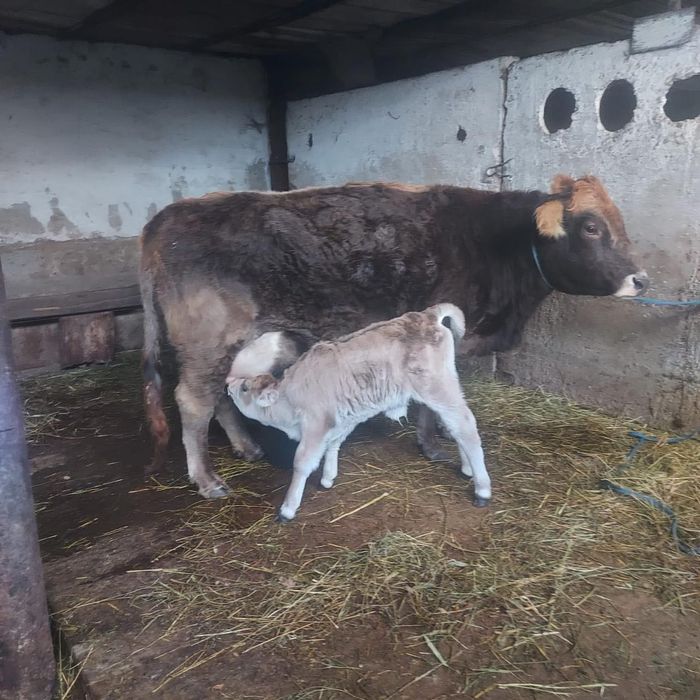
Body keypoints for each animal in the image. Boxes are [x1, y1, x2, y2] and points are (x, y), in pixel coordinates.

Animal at [140, 174, 647, 499]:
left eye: (621, 224)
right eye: (591, 227)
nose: (641, 279)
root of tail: (165, 218)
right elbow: (432, 408)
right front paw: (434, 446)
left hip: (230, 346)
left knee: (221, 397)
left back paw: (246, 447)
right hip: (208, 340)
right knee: (194, 402)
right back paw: (207, 479)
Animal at [226, 304, 490, 522]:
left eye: (245, 387)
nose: (228, 385)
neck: (291, 399)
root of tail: (425, 315)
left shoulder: (316, 425)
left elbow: (302, 463)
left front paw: (288, 509)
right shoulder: (342, 420)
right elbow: (334, 444)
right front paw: (328, 478)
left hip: (437, 387)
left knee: (465, 425)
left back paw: (482, 489)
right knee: (456, 427)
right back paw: (468, 470)